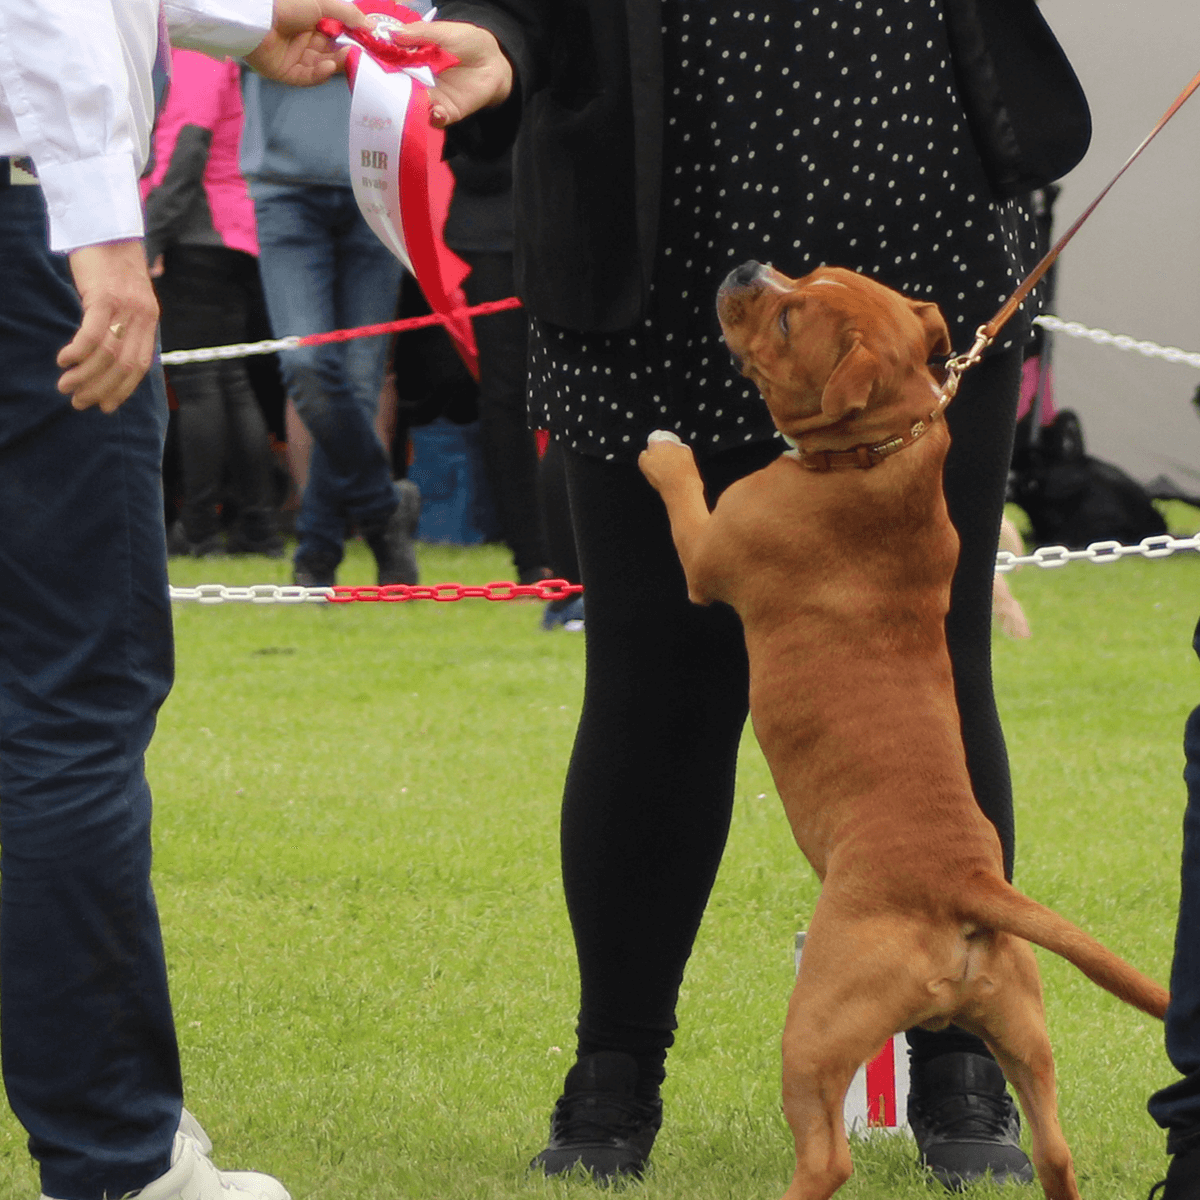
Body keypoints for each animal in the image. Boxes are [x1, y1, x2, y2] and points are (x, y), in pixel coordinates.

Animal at [638, 267, 1171, 1200]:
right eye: (802, 275)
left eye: (788, 317)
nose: (746, 272)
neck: (880, 454)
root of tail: (965, 885)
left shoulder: (708, 551)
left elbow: (681, 490)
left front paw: (665, 448)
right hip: (1024, 1031)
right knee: (1056, 1149)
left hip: (817, 1028)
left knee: (827, 1154)